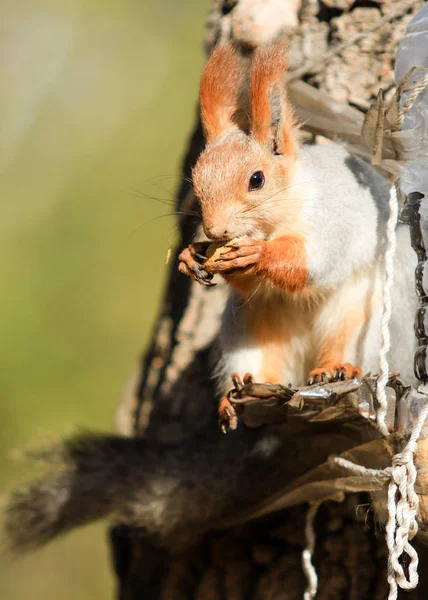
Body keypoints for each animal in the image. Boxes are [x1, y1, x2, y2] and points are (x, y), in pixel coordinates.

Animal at [177, 42, 418, 404]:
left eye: (257, 179)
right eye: (196, 179)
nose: (215, 231)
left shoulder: (335, 220)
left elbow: (311, 262)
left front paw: (258, 255)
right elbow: (247, 283)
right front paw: (191, 256)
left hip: (368, 322)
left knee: (347, 347)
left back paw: (336, 369)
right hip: (249, 328)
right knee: (260, 364)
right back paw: (242, 395)